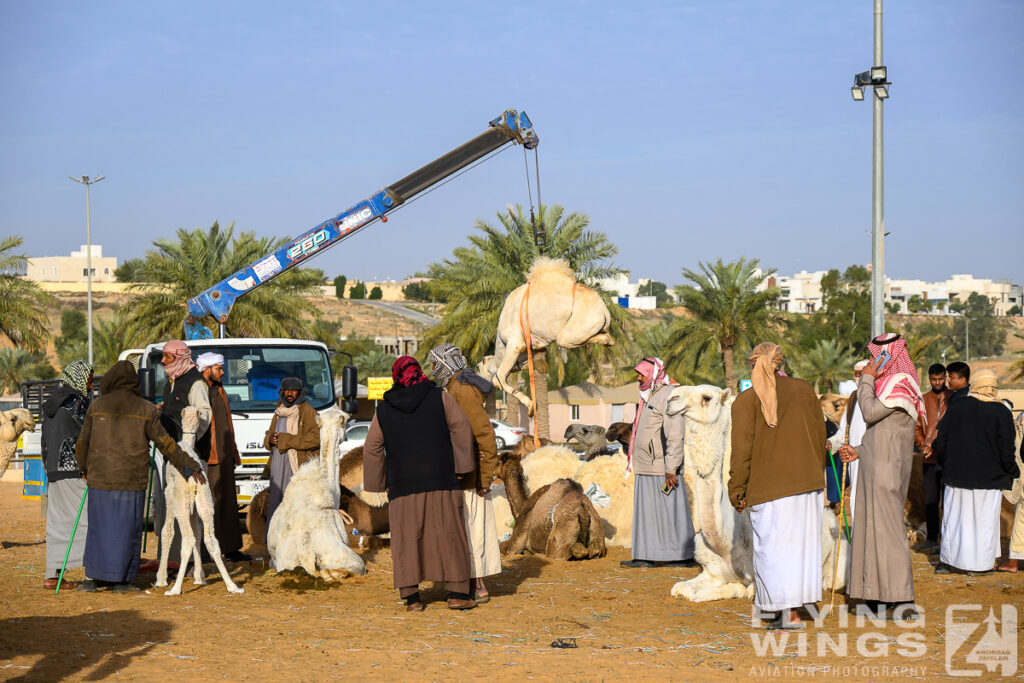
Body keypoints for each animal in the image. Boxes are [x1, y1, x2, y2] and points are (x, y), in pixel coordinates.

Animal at [154, 409, 244, 593]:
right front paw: (199, 577)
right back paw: (232, 586)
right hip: (205, 502)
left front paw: (161, 579)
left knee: (187, 539)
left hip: (181, 502)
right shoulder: (194, 507)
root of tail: (194, 480)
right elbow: (197, 533)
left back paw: (175, 589)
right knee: (210, 540)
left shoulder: (169, 495)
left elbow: (167, 531)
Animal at [481, 259, 614, 413]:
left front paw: (531, 407)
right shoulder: (528, 349)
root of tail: (604, 310)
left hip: (579, 325)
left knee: (567, 339)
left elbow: (499, 379)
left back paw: (606, 340)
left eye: (478, 367)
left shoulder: (515, 343)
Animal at [663, 385, 847, 602]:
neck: (725, 542)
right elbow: (680, 588)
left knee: (831, 580)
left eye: (707, 397)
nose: (671, 399)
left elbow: (744, 589)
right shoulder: (711, 571)